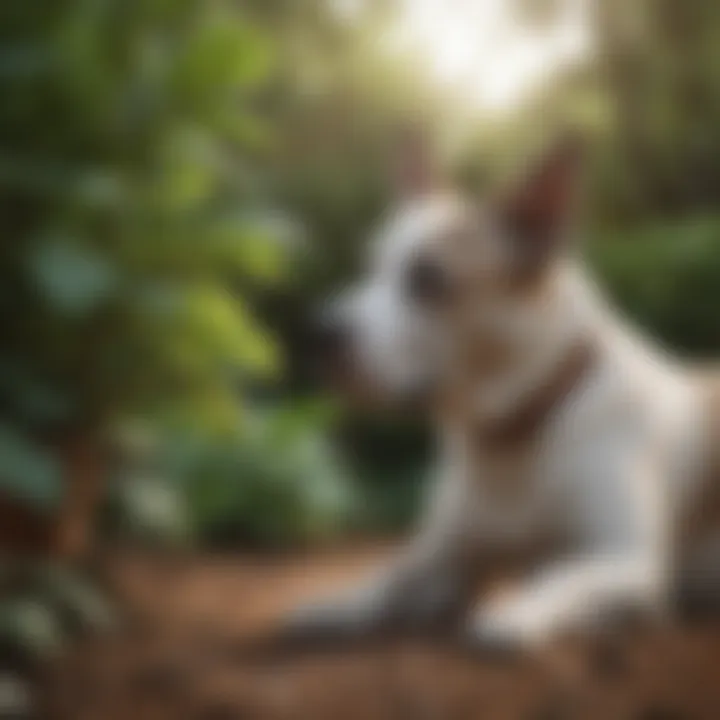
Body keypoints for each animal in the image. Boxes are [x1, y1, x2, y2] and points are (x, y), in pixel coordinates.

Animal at [284, 135, 720, 652]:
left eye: (429, 280)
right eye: (369, 268)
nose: (318, 332)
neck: (512, 433)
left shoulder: (626, 561)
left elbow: (561, 576)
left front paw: (517, 614)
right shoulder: (446, 560)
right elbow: (391, 580)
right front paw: (340, 606)